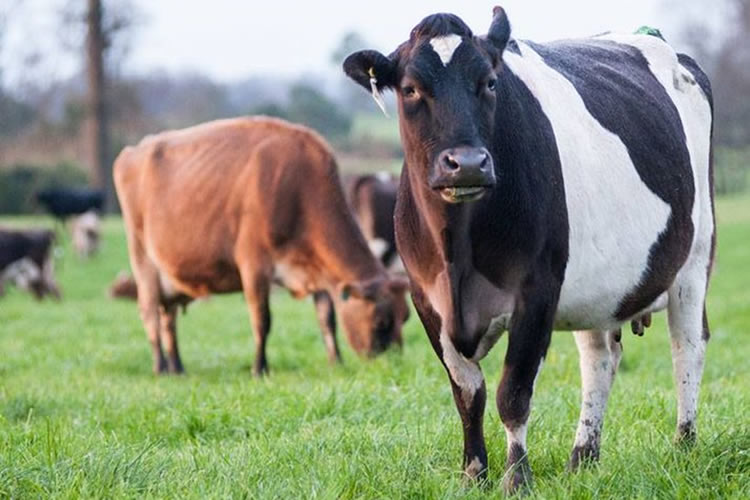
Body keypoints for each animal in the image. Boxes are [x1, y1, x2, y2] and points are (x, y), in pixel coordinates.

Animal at [114, 117, 412, 376]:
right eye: (381, 322)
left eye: (406, 317)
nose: (396, 361)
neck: (298, 190)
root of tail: (133, 150)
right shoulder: (254, 265)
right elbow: (262, 320)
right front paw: (259, 368)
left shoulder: (317, 268)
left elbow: (327, 318)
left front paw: (335, 361)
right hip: (143, 262)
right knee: (150, 313)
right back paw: (161, 366)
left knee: (169, 318)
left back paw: (178, 367)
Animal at [344, 6, 712, 492]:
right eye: (410, 89)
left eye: (489, 82)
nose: (467, 164)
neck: (458, 249)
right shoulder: (427, 300)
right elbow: (468, 394)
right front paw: (473, 475)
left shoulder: (536, 291)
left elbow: (512, 394)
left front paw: (516, 478)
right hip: (596, 287)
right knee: (600, 359)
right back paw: (582, 458)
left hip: (694, 260)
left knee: (686, 346)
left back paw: (684, 447)